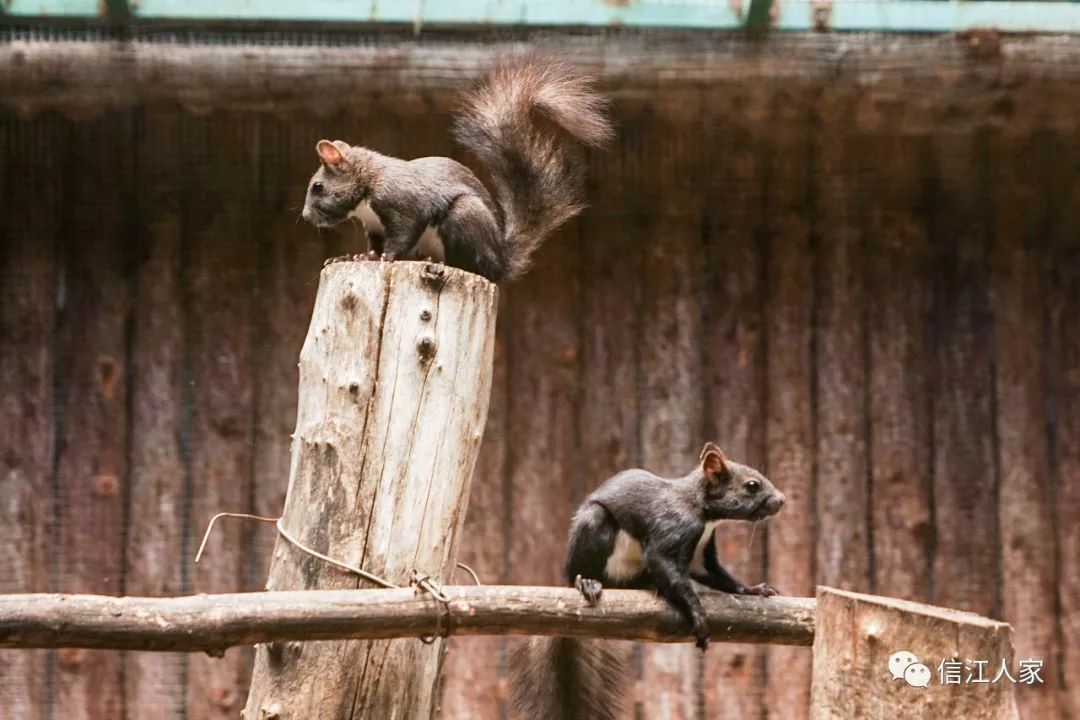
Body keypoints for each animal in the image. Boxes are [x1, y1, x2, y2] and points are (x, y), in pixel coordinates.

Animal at [300, 60, 613, 282]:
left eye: (317, 186)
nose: (304, 216)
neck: (369, 183)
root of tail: (501, 261)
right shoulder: (374, 225)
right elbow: (374, 244)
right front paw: (353, 257)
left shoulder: (403, 205)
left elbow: (402, 236)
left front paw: (384, 258)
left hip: (464, 217)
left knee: (471, 265)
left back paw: (437, 263)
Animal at [505, 442, 786, 720]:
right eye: (752, 485)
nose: (782, 499)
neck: (701, 510)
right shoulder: (671, 530)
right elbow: (668, 569)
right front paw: (698, 616)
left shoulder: (700, 555)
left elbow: (715, 574)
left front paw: (753, 589)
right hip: (592, 526)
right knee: (582, 571)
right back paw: (587, 583)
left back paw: (650, 586)